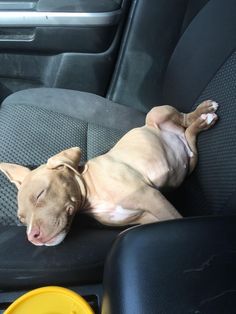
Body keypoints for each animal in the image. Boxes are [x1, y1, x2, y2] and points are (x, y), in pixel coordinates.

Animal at [0, 100, 218, 245]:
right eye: (22, 219)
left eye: (40, 195)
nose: (32, 237)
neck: (91, 192)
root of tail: (176, 134)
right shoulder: (148, 218)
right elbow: (172, 218)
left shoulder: (150, 196)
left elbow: (177, 218)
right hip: (190, 158)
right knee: (189, 134)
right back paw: (202, 122)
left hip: (157, 113)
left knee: (183, 117)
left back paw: (204, 111)